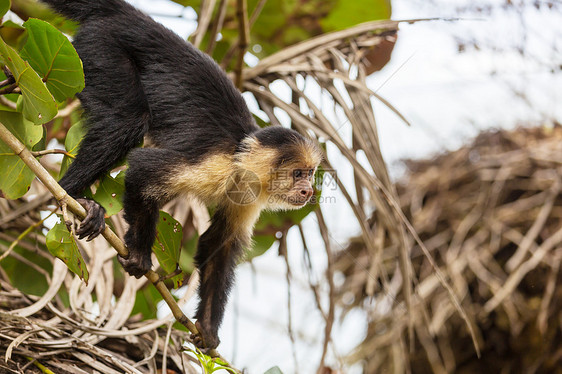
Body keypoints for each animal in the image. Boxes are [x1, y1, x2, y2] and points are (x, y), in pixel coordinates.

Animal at [40, 0, 320, 350]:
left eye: (310, 174)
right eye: (298, 173)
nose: (308, 190)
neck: (241, 163)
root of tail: (128, 16)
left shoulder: (248, 195)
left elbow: (219, 245)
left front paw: (207, 326)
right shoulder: (216, 165)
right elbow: (143, 169)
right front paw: (139, 253)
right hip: (101, 48)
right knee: (127, 122)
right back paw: (72, 194)